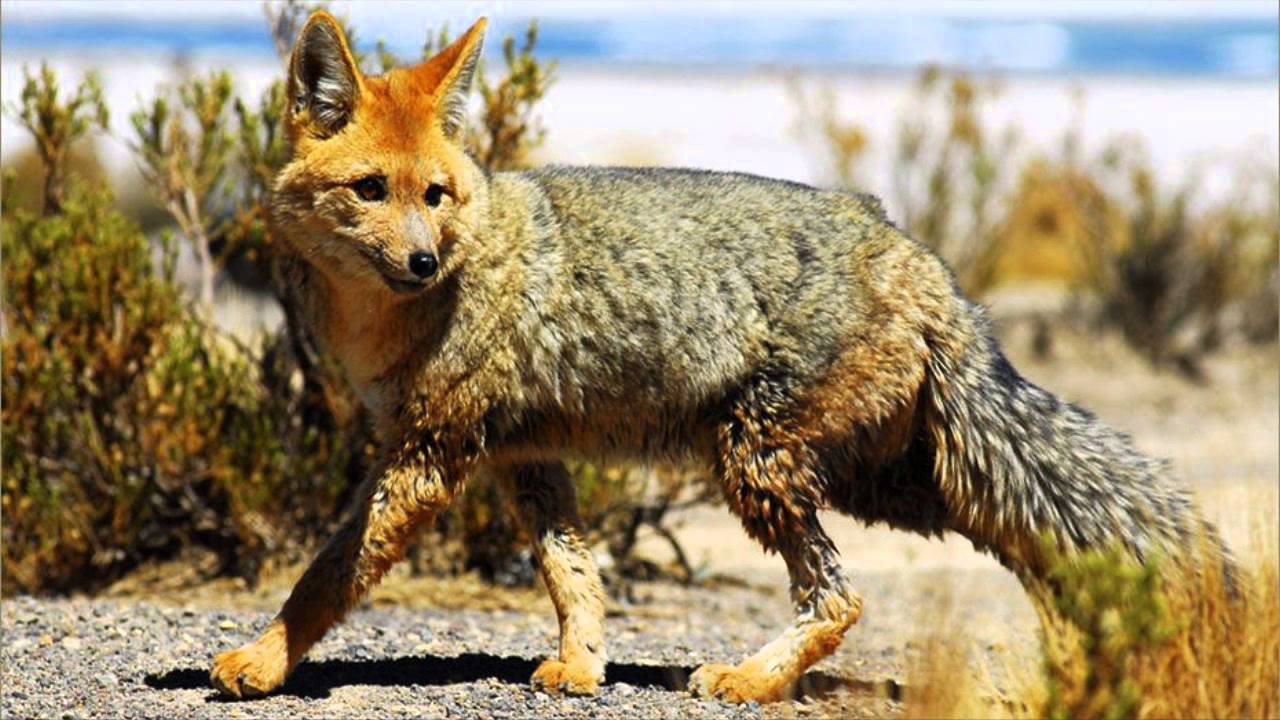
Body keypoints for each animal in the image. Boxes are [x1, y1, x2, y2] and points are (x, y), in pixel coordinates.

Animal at [210, 11, 1230, 703]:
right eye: (370, 190)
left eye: (435, 194)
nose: (425, 262)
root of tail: (918, 256)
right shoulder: (523, 457)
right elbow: (573, 575)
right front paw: (583, 666)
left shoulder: (427, 456)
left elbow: (330, 572)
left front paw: (263, 659)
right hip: (895, 478)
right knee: (1028, 529)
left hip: (755, 462)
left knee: (842, 598)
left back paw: (750, 680)